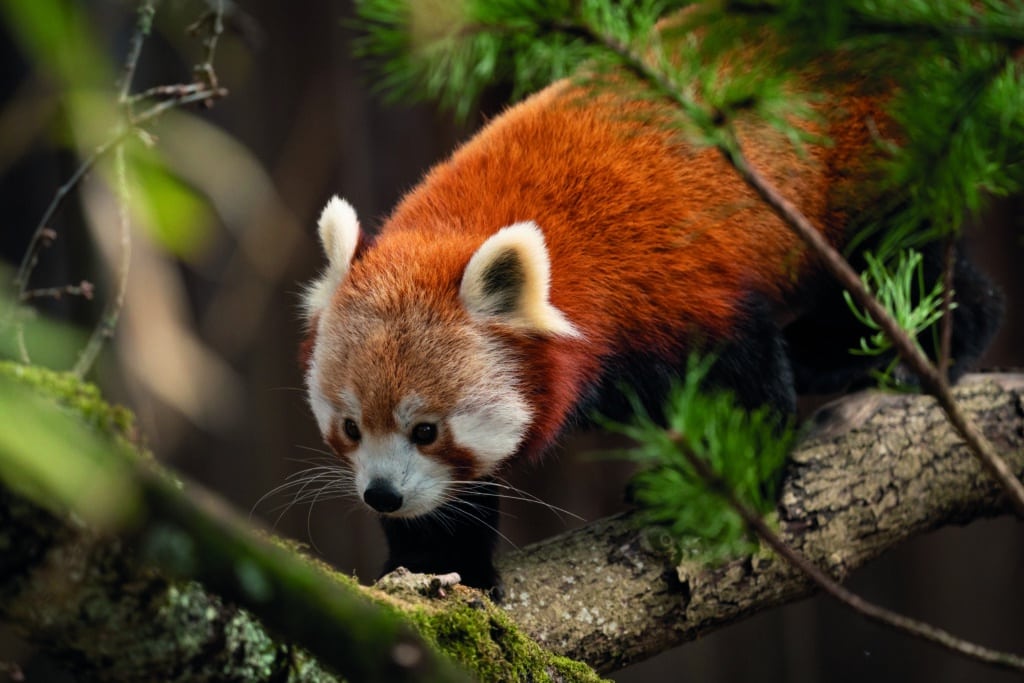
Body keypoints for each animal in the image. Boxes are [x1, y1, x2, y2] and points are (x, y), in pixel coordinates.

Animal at [299, 65, 999, 593]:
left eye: (426, 430)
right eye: (352, 427)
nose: (381, 495)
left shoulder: (677, 286)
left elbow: (741, 380)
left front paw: (726, 486)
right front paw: (438, 563)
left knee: (907, 262)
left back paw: (914, 350)